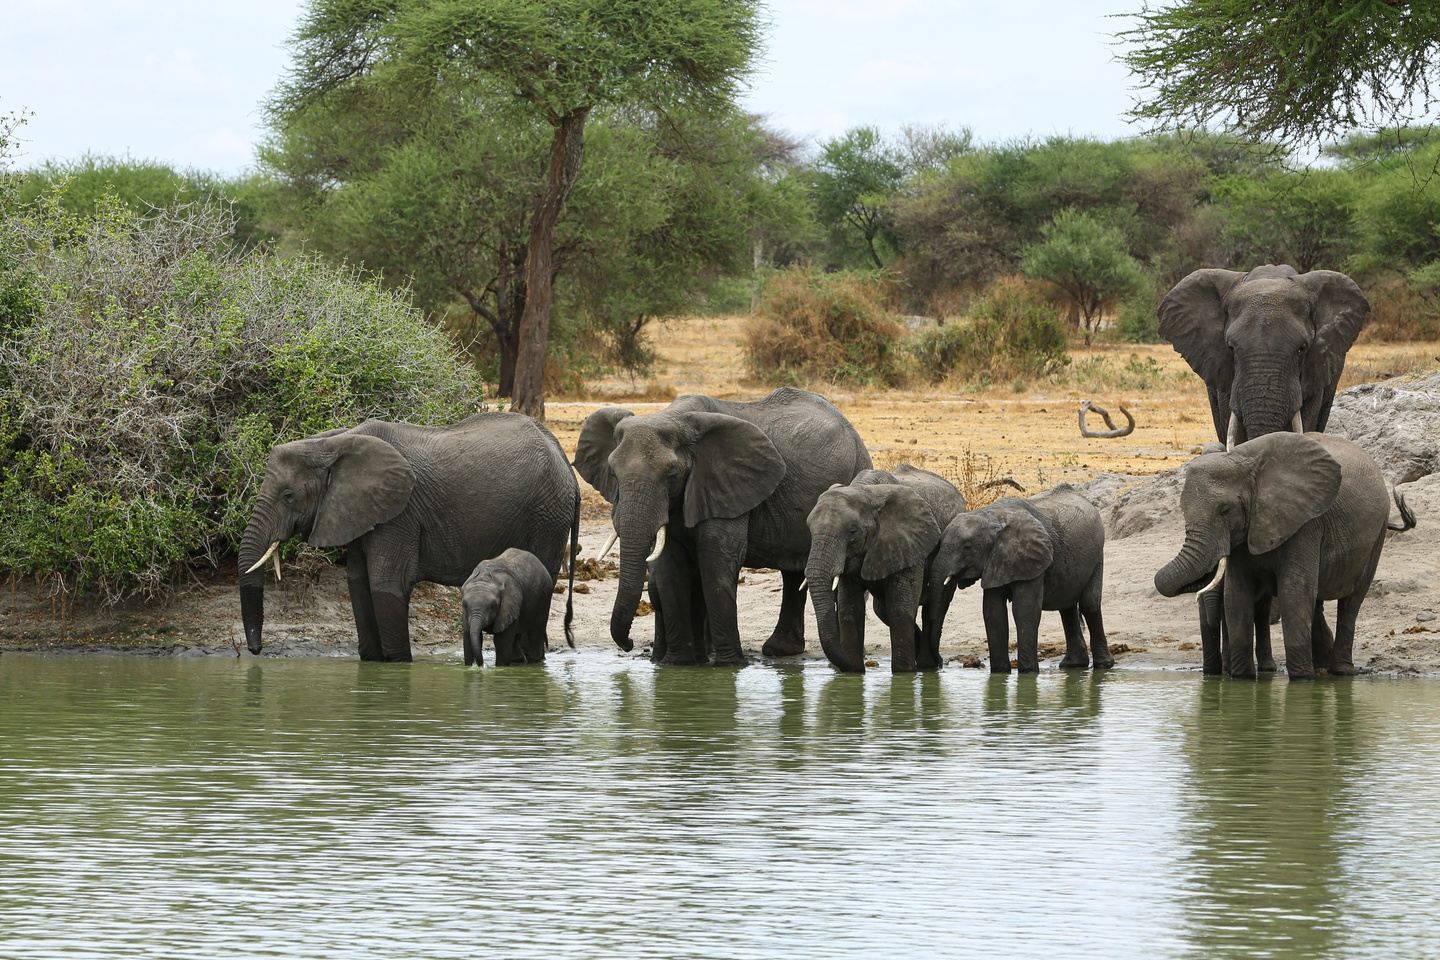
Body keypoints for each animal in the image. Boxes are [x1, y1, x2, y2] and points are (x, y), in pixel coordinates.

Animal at [234, 417, 573, 664]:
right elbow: (358, 584)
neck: (332, 442)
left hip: (548, 517)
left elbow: (386, 584)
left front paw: (397, 665)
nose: (256, 650)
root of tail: (560, 453)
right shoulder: (359, 512)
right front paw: (373, 664)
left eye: (288, 496)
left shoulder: (400, 514)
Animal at [570, 385, 864, 664]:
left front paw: (729, 665)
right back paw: (780, 650)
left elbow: (716, 560)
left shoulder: (726, 483)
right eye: (612, 473)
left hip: (856, 468)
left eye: (672, 474)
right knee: (792, 572)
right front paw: (678, 664)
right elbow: (670, 566)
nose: (629, 644)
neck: (674, 418)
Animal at [812, 480, 944, 676]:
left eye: (853, 531)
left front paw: (903, 675)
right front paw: (854, 675)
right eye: (809, 528)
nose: (842, 669)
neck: (868, 493)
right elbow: (850, 611)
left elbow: (900, 610)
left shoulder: (910, 545)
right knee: (882, 610)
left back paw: (929, 665)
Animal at [921, 483, 1111, 673]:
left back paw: (1103, 665)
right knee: (1066, 607)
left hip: (1097, 554)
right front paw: (1000, 673)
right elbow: (993, 612)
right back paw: (1073, 665)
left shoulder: (1032, 560)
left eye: (967, 547)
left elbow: (1025, 610)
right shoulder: (995, 560)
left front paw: (1027, 673)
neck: (991, 516)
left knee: (1089, 604)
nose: (939, 664)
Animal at [1152, 431, 1411, 679]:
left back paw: (1341, 671)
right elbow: (1237, 595)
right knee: (1315, 601)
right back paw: (1319, 666)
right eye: (1183, 510)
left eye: (1225, 510)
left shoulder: (1306, 522)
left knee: (1351, 603)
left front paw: (1302, 680)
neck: (1241, 460)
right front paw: (1242, 678)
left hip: (1377, 535)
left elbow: (1293, 592)